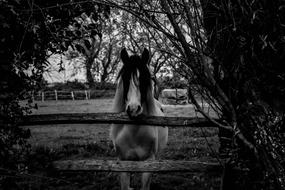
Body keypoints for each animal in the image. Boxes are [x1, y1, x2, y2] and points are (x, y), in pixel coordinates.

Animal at [108, 47, 166, 190]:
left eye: (144, 79)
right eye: (125, 78)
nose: (133, 109)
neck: (134, 133)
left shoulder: (148, 163)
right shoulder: (123, 163)